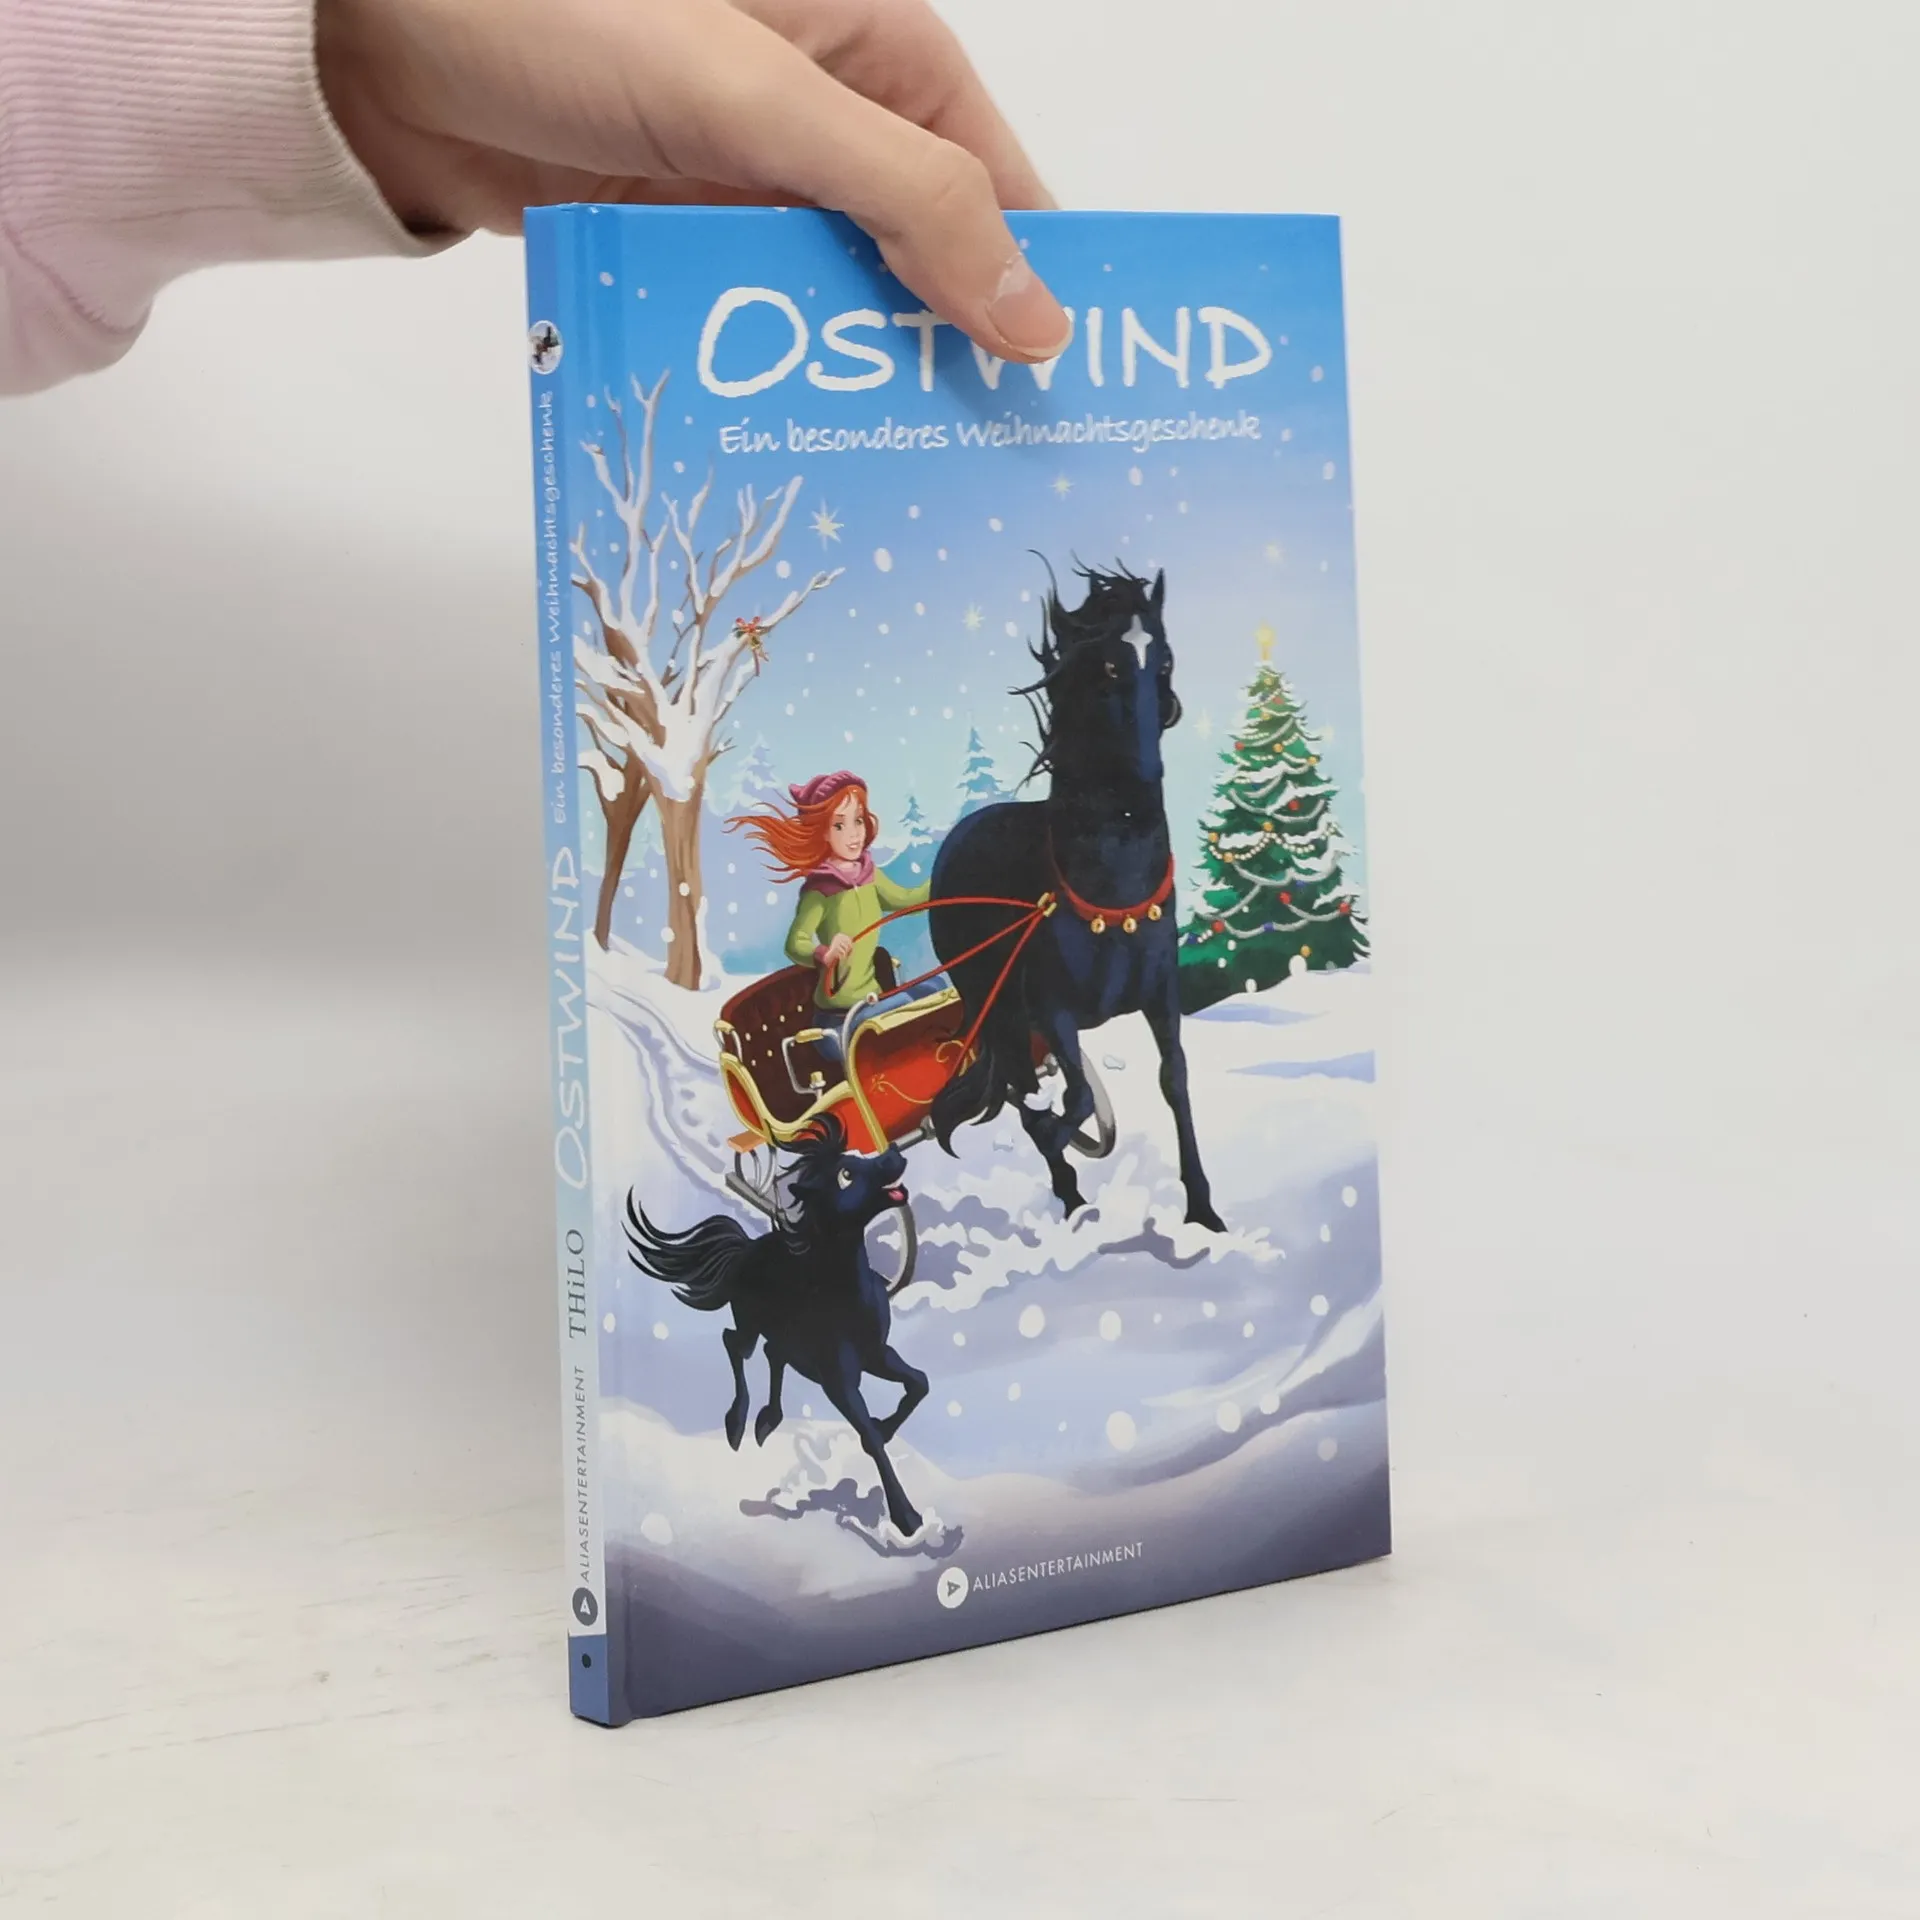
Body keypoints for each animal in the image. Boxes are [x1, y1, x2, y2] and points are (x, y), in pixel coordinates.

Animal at [623, 1116, 931, 1537]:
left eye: (856, 1157)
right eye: (846, 1175)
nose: (894, 1154)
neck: (846, 1294)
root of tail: (745, 1248)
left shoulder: (877, 1354)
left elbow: (919, 1383)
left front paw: (885, 1428)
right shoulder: (840, 1380)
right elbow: (868, 1432)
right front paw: (906, 1516)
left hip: (784, 1334)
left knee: (773, 1353)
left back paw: (768, 1419)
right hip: (750, 1325)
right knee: (736, 1344)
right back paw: (738, 1422)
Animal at [928, 563, 1223, 1231]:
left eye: (1165, 658)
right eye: (1110, 665)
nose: (1144, 782)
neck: (1111, 886)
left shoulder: (1163, 996)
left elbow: (1175, 1080)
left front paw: (1203, 1210)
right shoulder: (1052, 1012)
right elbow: (1076, 1097)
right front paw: (1056, 1139)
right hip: (992, 1002)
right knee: (1017, 1081)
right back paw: (1067, 1187)